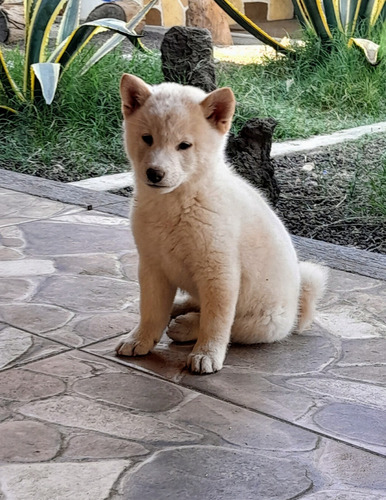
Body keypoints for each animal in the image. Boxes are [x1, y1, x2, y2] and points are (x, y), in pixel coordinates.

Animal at [114, 73, 326, 372]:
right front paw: (140, 339)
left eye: (184, 145)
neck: (178, 204)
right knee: (194, 304)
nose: (154, 173)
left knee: (235, 324)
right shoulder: (152, 265)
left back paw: (185, 325)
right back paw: (179, 307)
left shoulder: (220, 271)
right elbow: (151, 311)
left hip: (265, 321)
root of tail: (299, 300)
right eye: (147, 138)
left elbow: (217, 321)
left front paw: (206, 354)